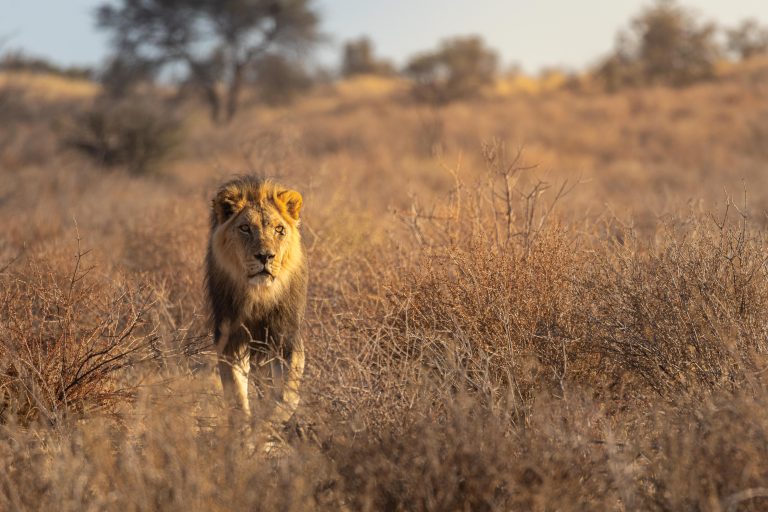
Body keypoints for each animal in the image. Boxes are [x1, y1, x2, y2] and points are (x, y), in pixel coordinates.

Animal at [205, 176, 308, 441]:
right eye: (245, 228)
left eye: (279, 230)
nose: (265, 256)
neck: (259, 294)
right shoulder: (231, 338)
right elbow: (237, 394)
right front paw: (245, 437)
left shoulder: (286, 336)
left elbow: (286, 395)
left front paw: (267, 430)